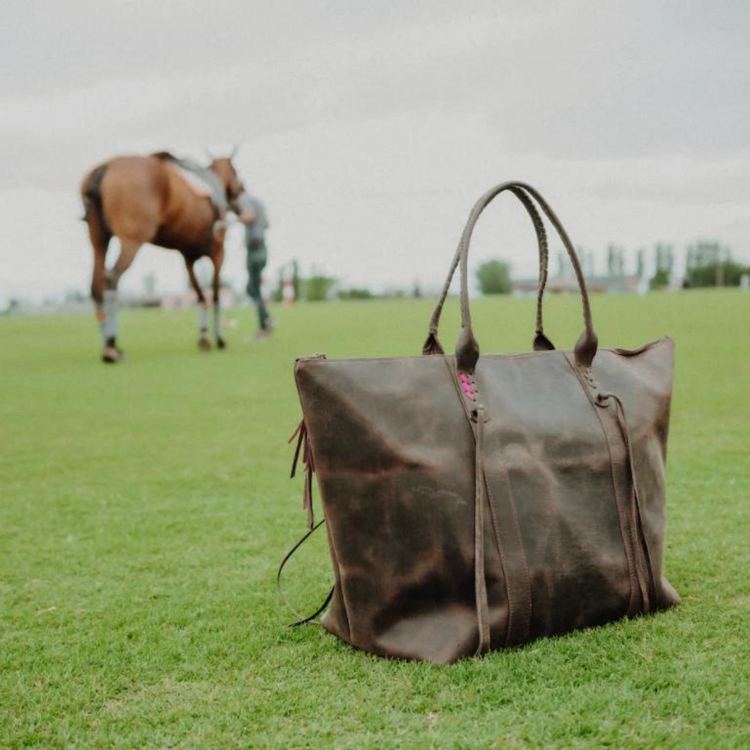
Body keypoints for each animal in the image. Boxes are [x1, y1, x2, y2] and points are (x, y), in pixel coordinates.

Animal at [82, 148, 247, 364]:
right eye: (235, 171)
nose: (242, 193)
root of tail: (104, 168)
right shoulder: (218, 253)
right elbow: (216, 295)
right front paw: (219, 339)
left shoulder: (188, 257)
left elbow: (200, 295)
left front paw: (204, 337)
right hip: (132, 239)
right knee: (112, 278)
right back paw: (111, 346)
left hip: (99, 239)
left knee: (96, 285)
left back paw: (110, 345)